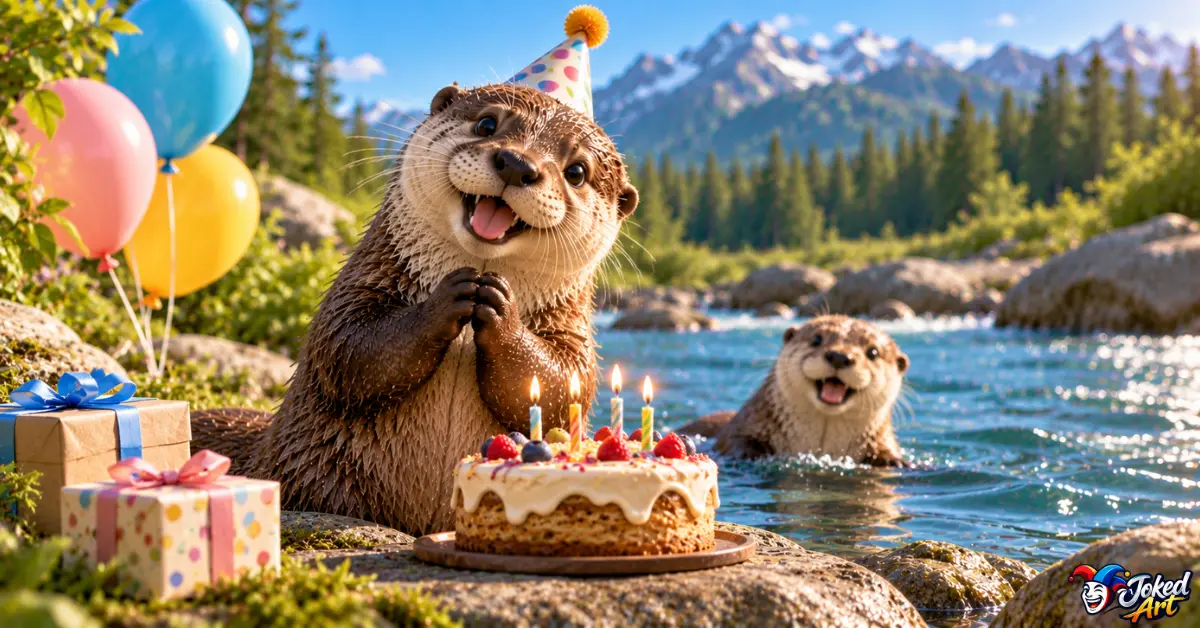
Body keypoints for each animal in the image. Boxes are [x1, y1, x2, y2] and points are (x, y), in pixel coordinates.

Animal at [191, 82, 638, 535]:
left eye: (577, 172)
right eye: (487, 123)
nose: (517, 164)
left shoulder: (572, 330)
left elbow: (565, 385)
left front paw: (500, 309)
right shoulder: (359, 285)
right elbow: (346, 346)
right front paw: (451, 296)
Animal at [678, 315, 909, 466]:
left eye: (873, 352)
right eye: (817, 339)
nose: (839, 356)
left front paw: (896, 462)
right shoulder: (747, 423)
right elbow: (737, 441)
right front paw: (748, 454)